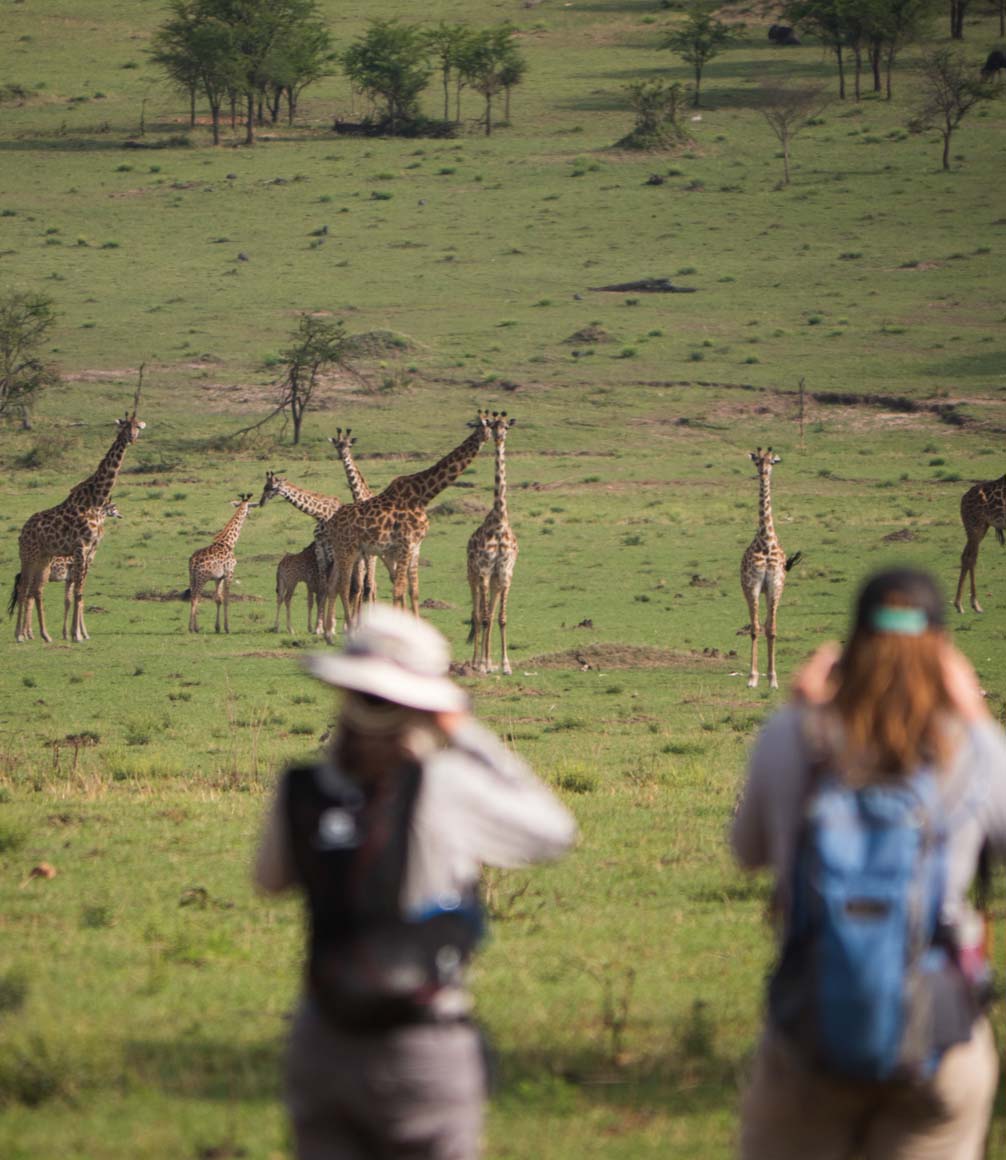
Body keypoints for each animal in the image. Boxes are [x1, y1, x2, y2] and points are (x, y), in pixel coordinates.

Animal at [14, 411, 145, 643]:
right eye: (124, 426)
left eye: (138, 426)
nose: (131, 438)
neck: (96, 500)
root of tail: (23, 531)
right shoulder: (80, 548)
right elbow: (77, 593)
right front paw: (76, 634)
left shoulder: (89, 550)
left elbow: (79, 593)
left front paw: (78, 633)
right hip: (28, 555)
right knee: (23, 588)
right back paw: (20, 635)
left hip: (43, 557)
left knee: (35, 590)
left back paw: (44, 635)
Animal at [185, 494, 257, 633]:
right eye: (250, 506)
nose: (250, 513)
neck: (229, 542)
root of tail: (193, 562)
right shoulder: (230, 573)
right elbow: (227, 599)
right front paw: (227, 628)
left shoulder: (218, 577)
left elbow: (218, 599)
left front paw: (217, 627)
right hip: (202, 578)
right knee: (196, 597)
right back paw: (194, 628)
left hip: (192, 577)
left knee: (192, 598)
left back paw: (192, 627)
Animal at [320, 412, 492, 641]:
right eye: (479, 425)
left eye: (491, 424)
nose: (487, 436)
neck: (423, 495)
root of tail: (331, 523)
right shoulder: (404, 544)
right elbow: (398, 589)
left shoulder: (415, 546)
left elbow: (413, 590)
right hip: (348, 550)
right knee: (345, 585)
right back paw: (348, 631)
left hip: (346, 551)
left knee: (335, 585)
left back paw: (329, 633)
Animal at [740, 448, 801, 690]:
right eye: (757, 461)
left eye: (773, 461)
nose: (763, 472)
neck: (766, 542)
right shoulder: (754, 585)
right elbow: (755, 628)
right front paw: (752, 677)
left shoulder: (775, 584)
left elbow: (772, 629)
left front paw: (773, 678)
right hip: (751, 590)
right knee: (757, 625)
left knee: (767, 624)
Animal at [954, 476, 1006, 613]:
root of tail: (963, 500)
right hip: (976, 526)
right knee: (970, 558)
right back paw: (969, 604)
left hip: (982, 526)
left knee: (967, 557)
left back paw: (963, 604)